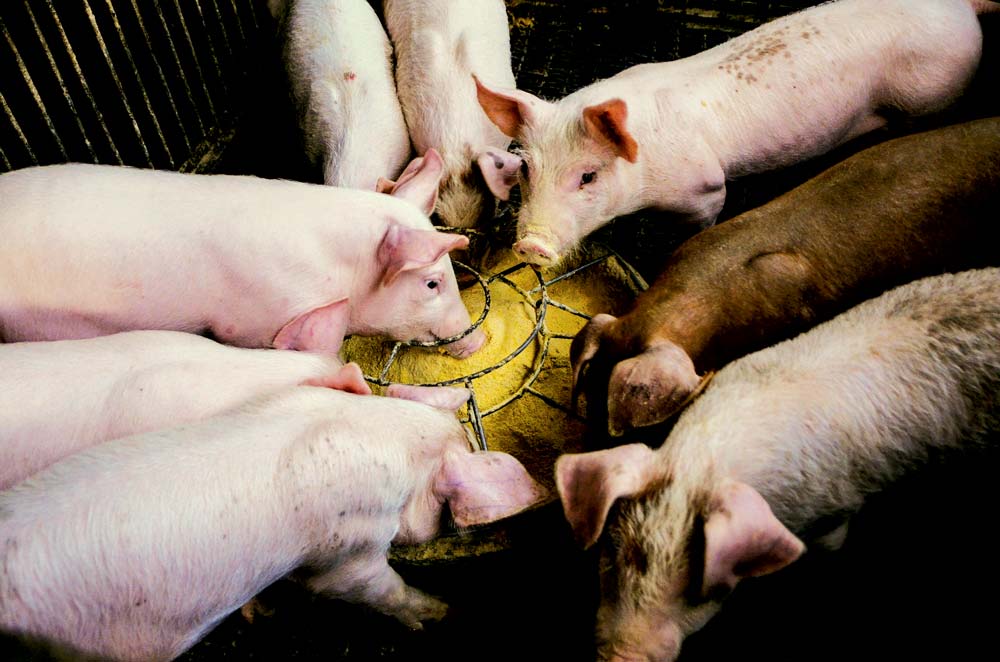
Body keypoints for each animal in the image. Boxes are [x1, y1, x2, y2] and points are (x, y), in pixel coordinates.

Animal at [475, 0, 998, 266]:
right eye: (526, 170)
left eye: (588, 176)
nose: (531, 244)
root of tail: (961, 9)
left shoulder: (706, 188)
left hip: (932, 94)